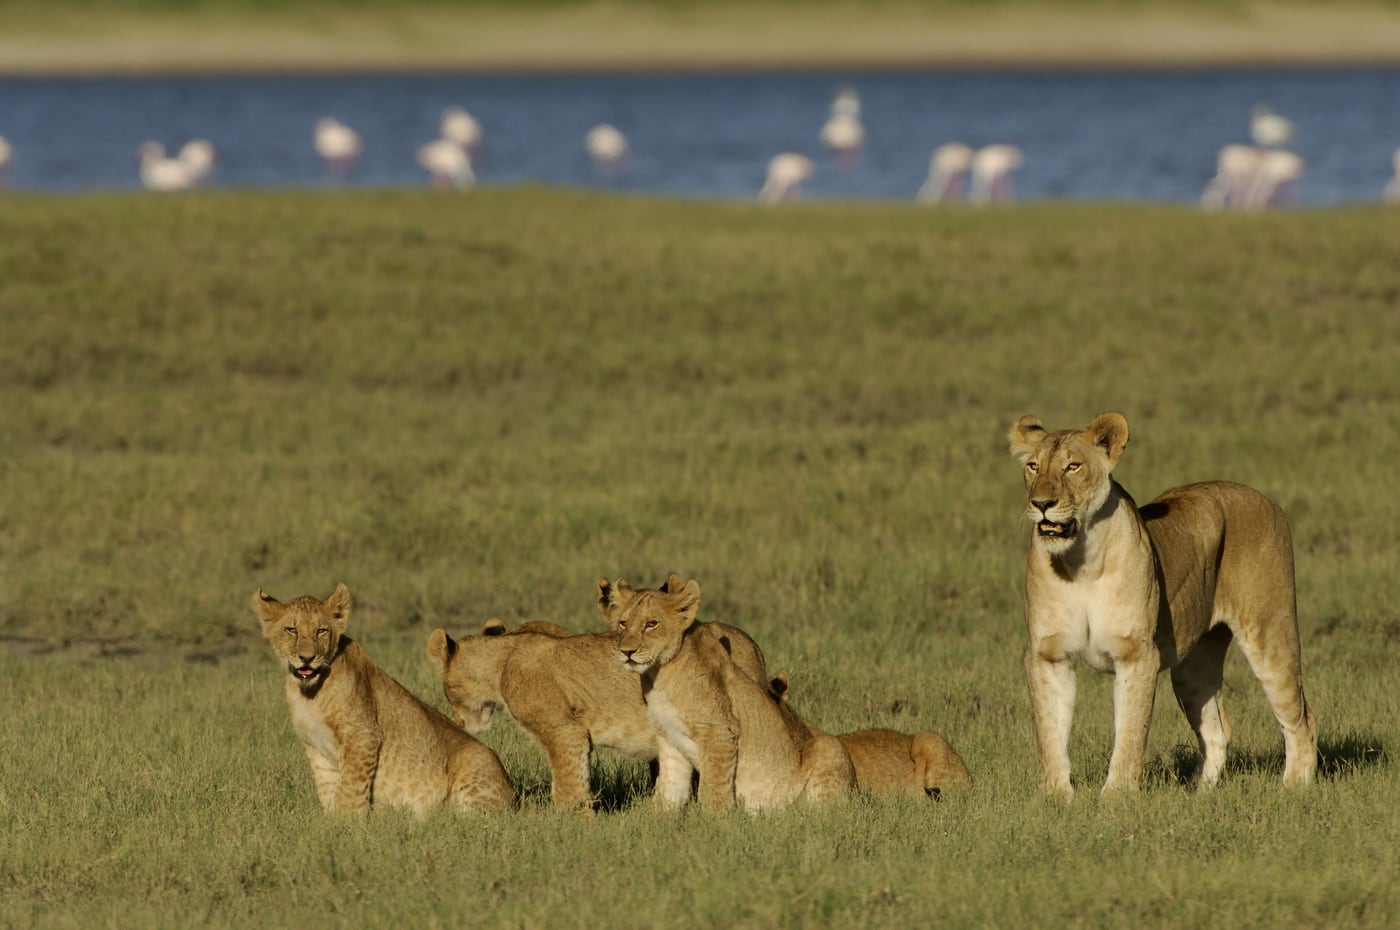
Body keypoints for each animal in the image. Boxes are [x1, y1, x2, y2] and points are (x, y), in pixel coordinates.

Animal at [253, 584, 517, 814]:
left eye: (321, 631)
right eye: (291, 630)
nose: (307, 658)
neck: (308, 694)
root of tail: (515, 797)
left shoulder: (363, 735)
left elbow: (350, 790)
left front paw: (348, 827)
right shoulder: (316, 747)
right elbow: (328, 790)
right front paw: (330, 825)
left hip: (477, 764)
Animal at [427, 615, 767, 812]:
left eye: (447, 689)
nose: (460, 721)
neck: (502, 656)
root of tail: (751, 644)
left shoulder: (564, 730)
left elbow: (567, 783)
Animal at [598, 574, 855, 811]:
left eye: (651, 624)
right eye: (623, 623)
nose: (626, 651)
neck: (659, 676)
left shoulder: (719, 732)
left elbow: (712, 789)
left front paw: (715, 824)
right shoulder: (670, 739)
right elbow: (669, 787)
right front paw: (660, 819)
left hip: (828, 747)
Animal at [1008, 412, 1317, 799]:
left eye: (1073, 466)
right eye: (1033, 466)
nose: (1041, 504)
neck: (1081, 559)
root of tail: (1264, 498)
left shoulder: (1137, 655)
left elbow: (1130, 732)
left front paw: (1117, 796)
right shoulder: (1047, 655)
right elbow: (1050, 731)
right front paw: (1055, 797)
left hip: (1269, 635)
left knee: (1302, 718)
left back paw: (1294, 787)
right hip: (1192, 669)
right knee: (1218, 730)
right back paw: (1200, 795)